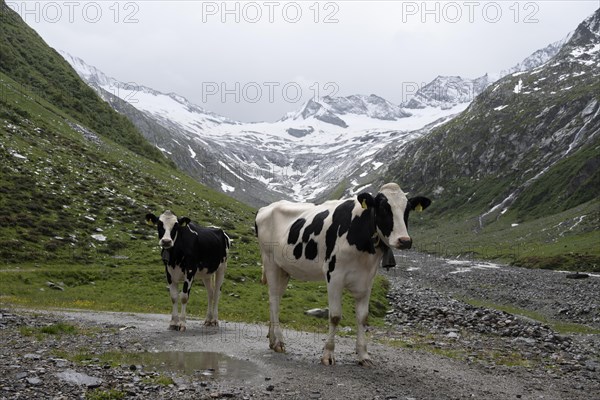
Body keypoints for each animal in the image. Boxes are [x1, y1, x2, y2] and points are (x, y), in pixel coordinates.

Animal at [255, 184, 428, 366]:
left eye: (407, 209)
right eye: (383, 207)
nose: (404, 240)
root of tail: (265, 208)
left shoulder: (367, 280)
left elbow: (362, 317)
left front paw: (363, 355)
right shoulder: (334, 275)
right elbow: (335, 316)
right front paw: (328, 354)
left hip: (284, 269)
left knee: (276, 298)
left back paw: (272, 339)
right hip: (270, 262)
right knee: (274, 300)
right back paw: (279, 342)